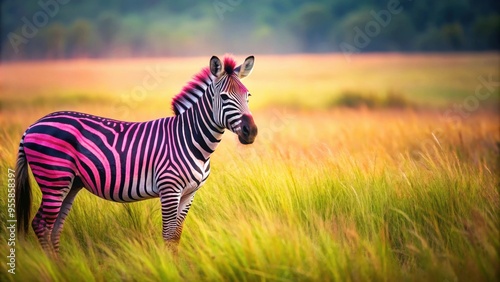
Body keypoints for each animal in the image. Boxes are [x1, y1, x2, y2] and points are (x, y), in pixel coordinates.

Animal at [15, 54, 258, 256]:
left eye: (248, 95)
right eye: (224, 97)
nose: (251, 131)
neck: (191, 141)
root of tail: (32, 126)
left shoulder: (190, 193)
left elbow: (176, 236)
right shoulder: (169, 189)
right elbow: (168, 235)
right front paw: (170, 268)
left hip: (71, 183)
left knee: (55, 228)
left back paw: (62, 267)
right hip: (54, 178)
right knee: (41, 225)